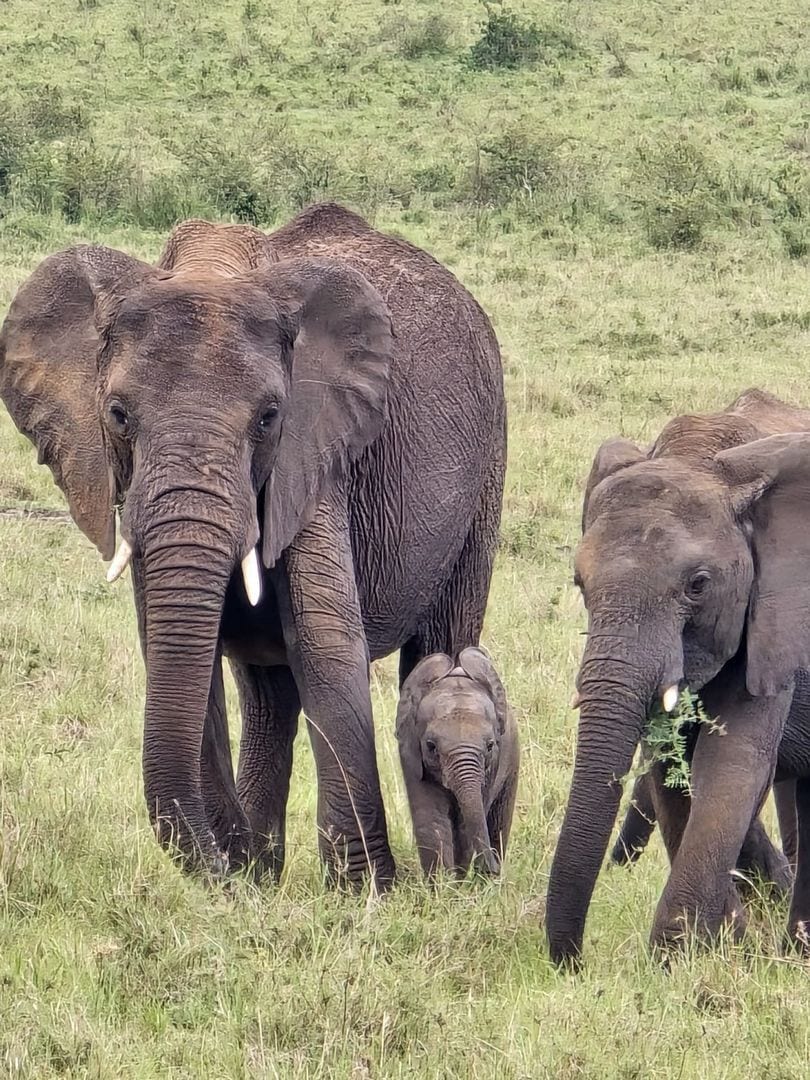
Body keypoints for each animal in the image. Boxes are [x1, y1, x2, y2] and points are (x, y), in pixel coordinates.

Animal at [0, 203, 506, 888]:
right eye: (117, 415)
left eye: (268, 418)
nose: (220, 865)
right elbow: (177, 646)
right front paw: (245, 878)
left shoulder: (317, 451)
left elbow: (324, 643)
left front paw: (365, 891)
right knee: (268, 695)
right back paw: (263, 867)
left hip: (486, 467)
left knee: (442, 643)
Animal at [395, 647, 518, 876]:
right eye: (431, 746)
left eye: (490, 746)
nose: (494, 869)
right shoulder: (411, 754)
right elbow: (432, 819)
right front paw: (442, 883)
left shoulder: (493, 764)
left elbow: (464, 824)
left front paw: (458, 880)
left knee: (499, 819)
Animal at [545, 387, 810, 965]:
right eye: (579, 582)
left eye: (698, 585)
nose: (573, 964)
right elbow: (670, 764)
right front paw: (721, 944)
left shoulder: (777, 618)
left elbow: (731, 763)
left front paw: (676, 957)